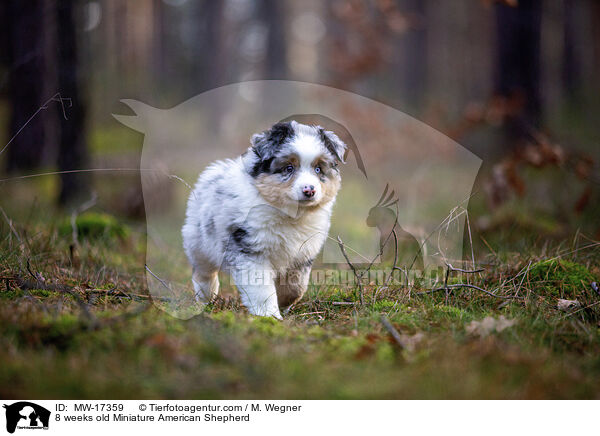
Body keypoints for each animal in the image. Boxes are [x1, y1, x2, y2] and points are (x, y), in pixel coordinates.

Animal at [180, 121, 344, 318]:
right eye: (289, 168)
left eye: (318, 169)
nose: (309, 190)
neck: (291, 216)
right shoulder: (252, 250)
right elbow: (261, 288)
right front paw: (269, 315)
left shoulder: (303, 253)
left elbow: (296, 286)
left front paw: (283, 303)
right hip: (199, 241)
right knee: (203, 272)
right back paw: (207, 296)